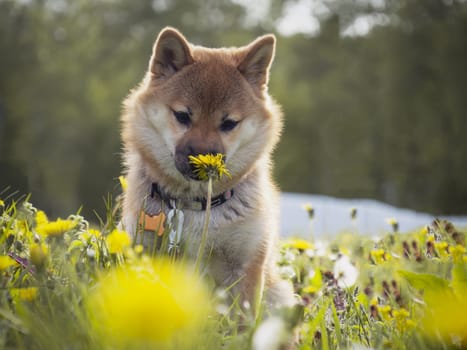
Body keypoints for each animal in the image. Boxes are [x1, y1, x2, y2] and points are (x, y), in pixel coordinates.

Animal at [121, 28, 296, 308]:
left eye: (229, 123)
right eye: (182, 116)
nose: (203, 160)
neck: (194, 205)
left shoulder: (245, 264)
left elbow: (243, 317)